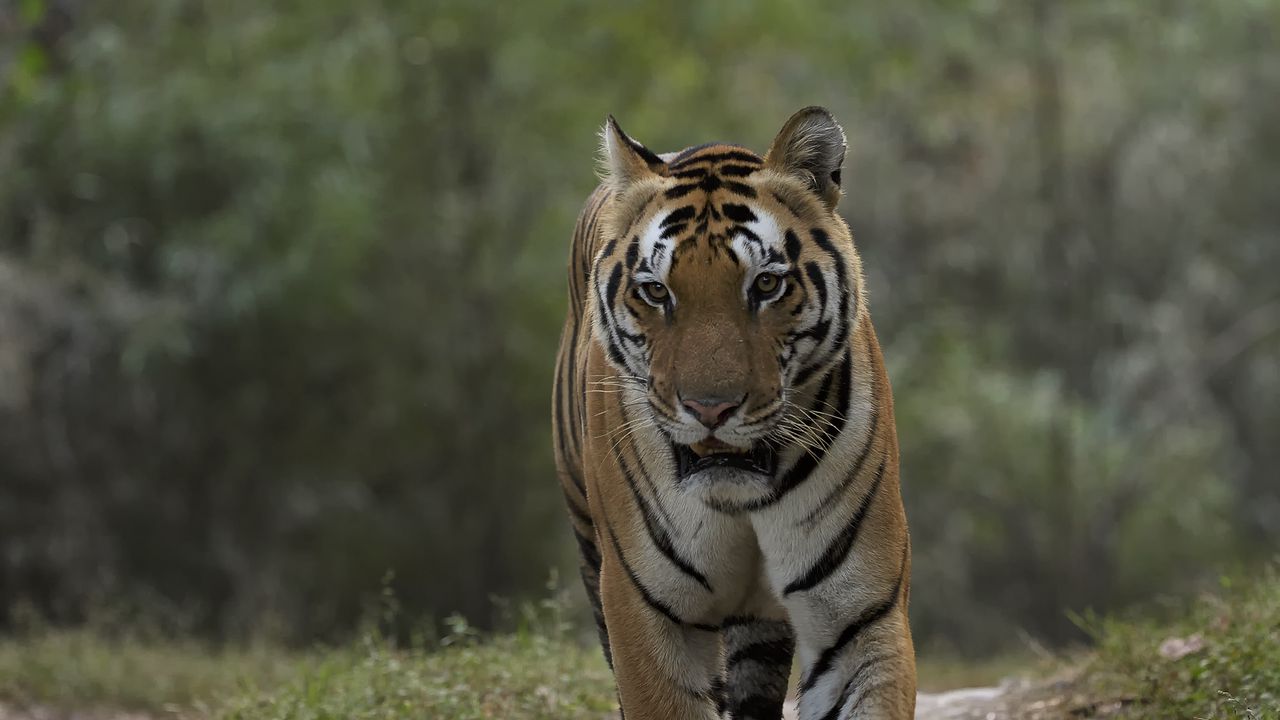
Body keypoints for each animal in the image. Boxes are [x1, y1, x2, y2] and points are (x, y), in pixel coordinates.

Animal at [552, 106, 915, 720]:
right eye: (656, 292)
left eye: (766, 284)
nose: (710, 408)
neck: (740, 498)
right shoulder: (647, 610)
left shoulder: (859, 617)